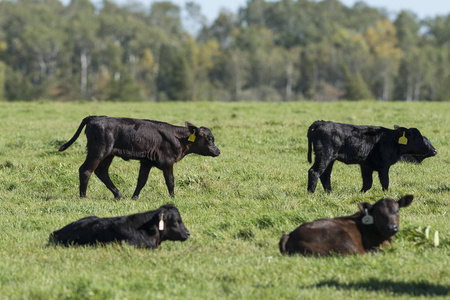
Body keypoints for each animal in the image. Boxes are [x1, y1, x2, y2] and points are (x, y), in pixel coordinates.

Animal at [59, 116, 221, 198]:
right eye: (209, 139)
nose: (218, 151)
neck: (178, 138)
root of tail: (95, 118)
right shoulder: (167, 162)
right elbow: (170, 181)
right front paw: (173, 198)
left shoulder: (146, 162)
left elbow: (141, 181)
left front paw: (134, 197)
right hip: (98, 151)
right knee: (86, 170)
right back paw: (83, 196)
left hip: (108, 154)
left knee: (102, 172)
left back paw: (119, 195)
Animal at [306, 121, 436, 193]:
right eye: (418, 137)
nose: (435, 150)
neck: (391, 139)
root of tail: (322, 122)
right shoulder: (384, 165)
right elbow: (385, 182)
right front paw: (386, 195)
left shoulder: (366, 165)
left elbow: (367, 183)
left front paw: (360, 194)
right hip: (324, 156)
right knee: (314, 172)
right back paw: (311, 194)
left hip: (331, 159)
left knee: (325, 175)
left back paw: (329, 193)